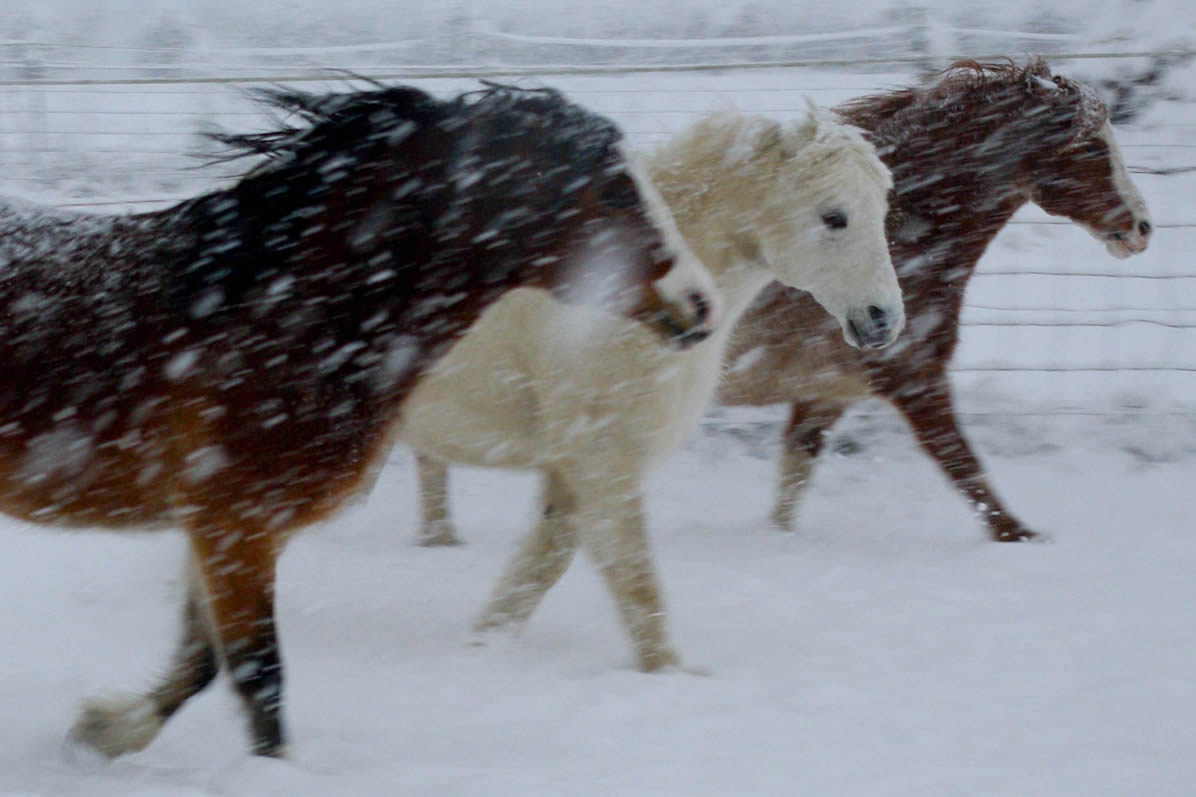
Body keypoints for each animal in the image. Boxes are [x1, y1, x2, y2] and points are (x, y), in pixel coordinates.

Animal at [0, 82, 722, 759]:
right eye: (617, 192)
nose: (701, 304)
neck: (281, 318)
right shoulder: (232, 522)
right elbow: (258, 675)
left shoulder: (228, 530)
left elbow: (199, 662)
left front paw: (102, 730)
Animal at [399, 106, 903, 671]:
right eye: (834, 215)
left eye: (881, 208)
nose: (884, 319)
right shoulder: (601, 454)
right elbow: (633, 574)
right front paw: (669, 673)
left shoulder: (574, 467)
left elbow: (542, 564)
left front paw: (484, 644)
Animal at [717, 58, 1152, 542]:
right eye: (1092, 147)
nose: (1142, 228)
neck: (901, 241)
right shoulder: (914, 378)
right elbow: (967, 471)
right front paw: (1027, 538)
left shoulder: (827, 393)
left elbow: (791, 485)